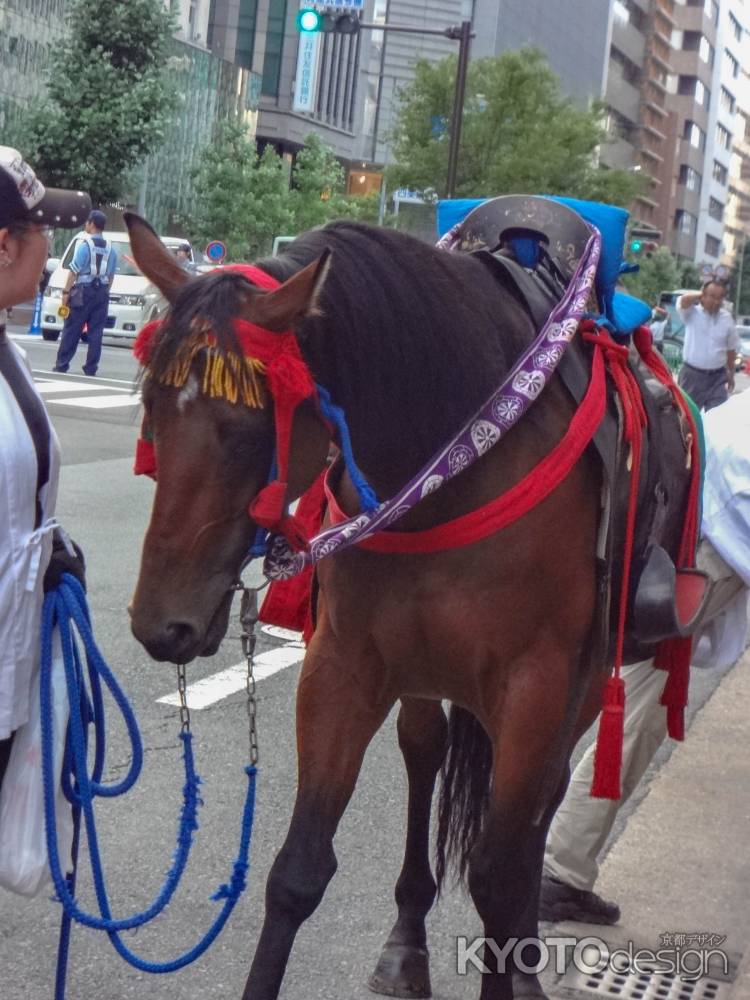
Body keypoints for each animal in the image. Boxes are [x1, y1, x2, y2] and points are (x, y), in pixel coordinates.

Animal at [126, 215, 608, 1000]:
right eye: (151, 413)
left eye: (247, 435)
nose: (160, 624)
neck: (457, 464)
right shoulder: (344, 663)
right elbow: (298, 870)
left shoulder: (538, 683)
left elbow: (499, 878)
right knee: (425, 750)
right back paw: (407, 941)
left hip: (583, 685)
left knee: (541, 805)